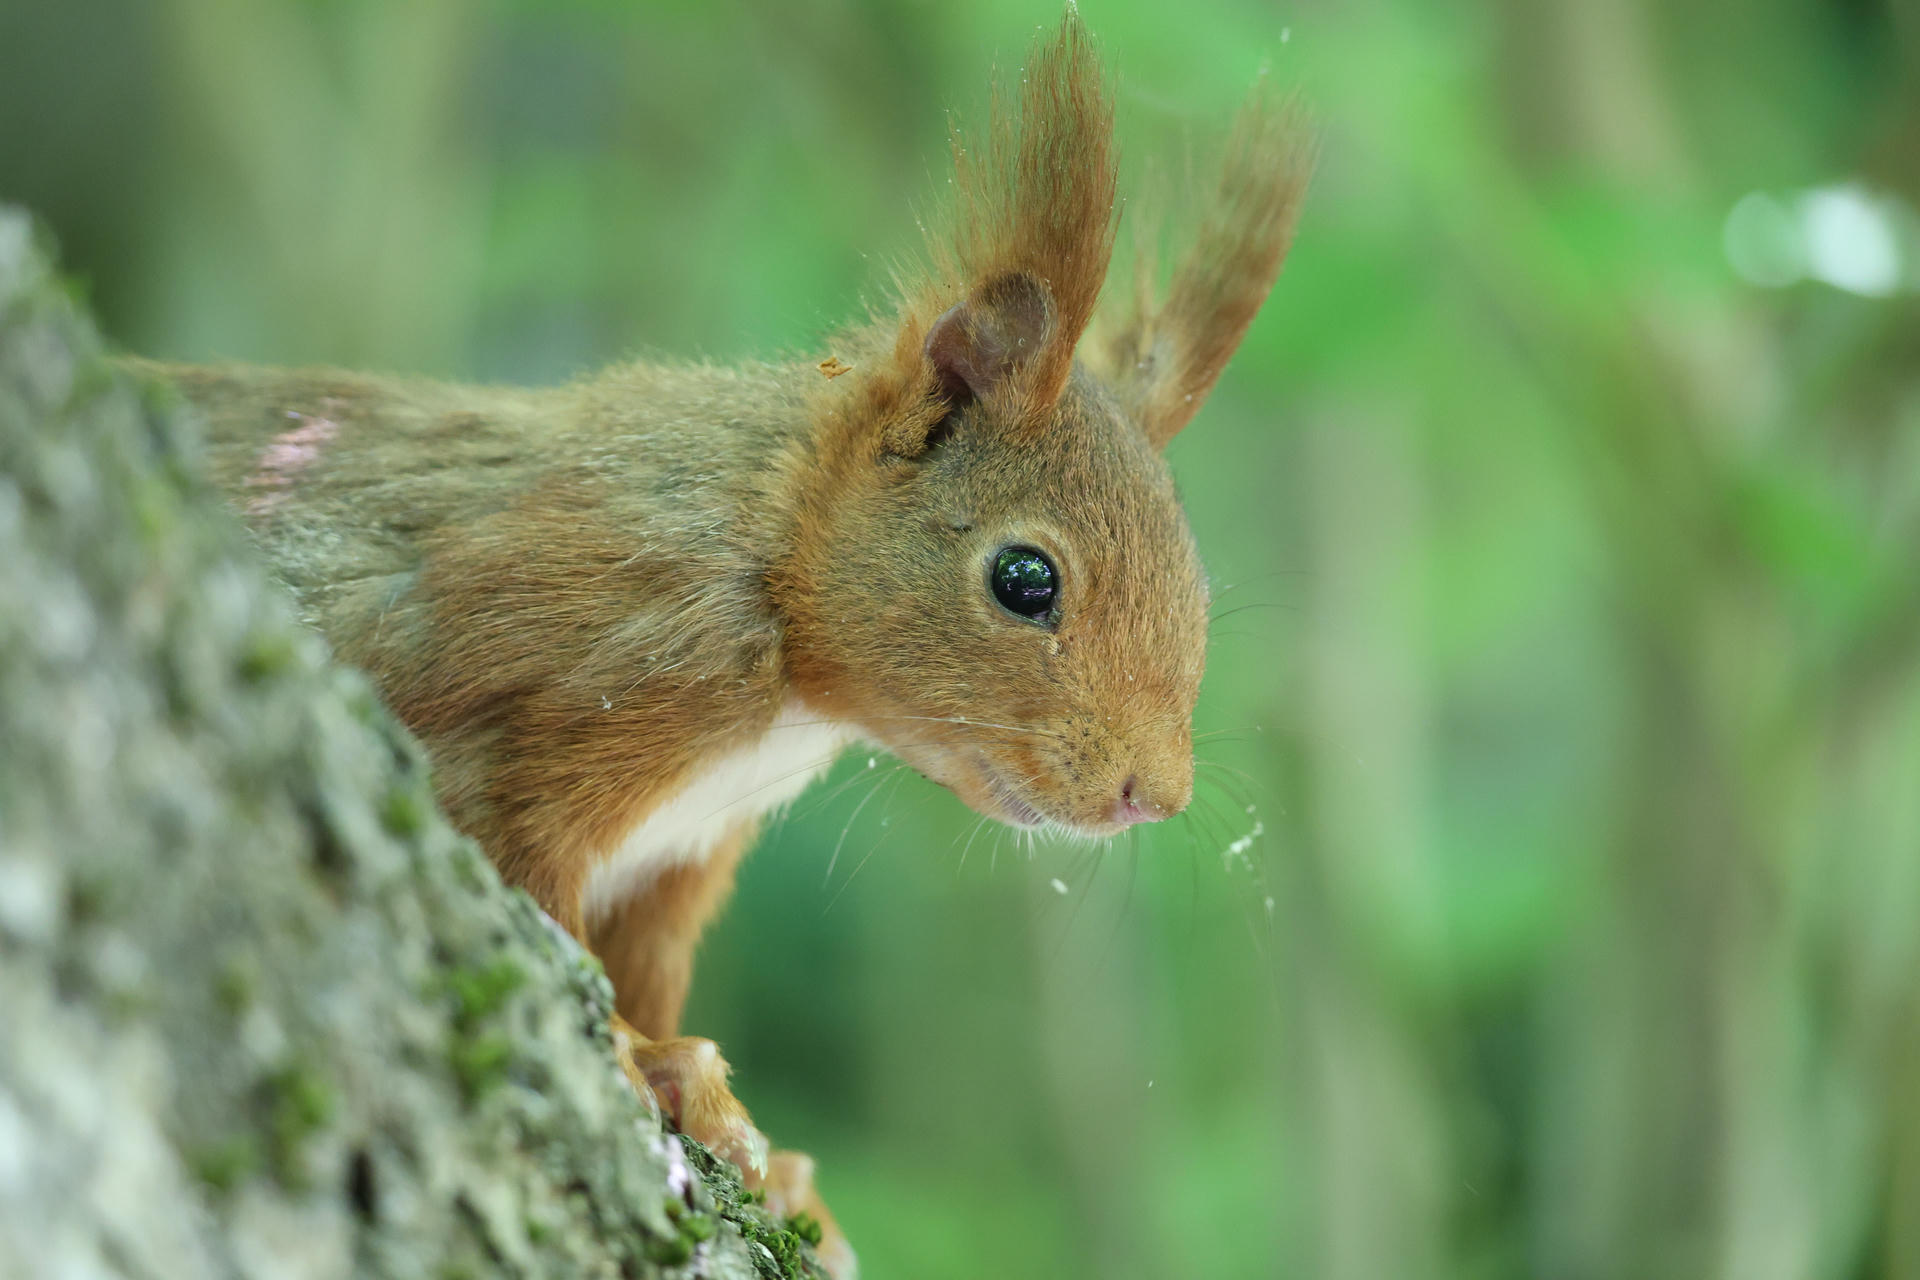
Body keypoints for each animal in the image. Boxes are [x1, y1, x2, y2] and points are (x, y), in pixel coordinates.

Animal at [136, 14, 1308, 1276]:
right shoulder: (571, 684)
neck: (778, 590)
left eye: (1197, 579)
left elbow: (642, 957)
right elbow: (522, 872)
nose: (1157, 793)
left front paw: (772, 1154)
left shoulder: (677, 856)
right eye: (1025, 579)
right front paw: (651, 1058)